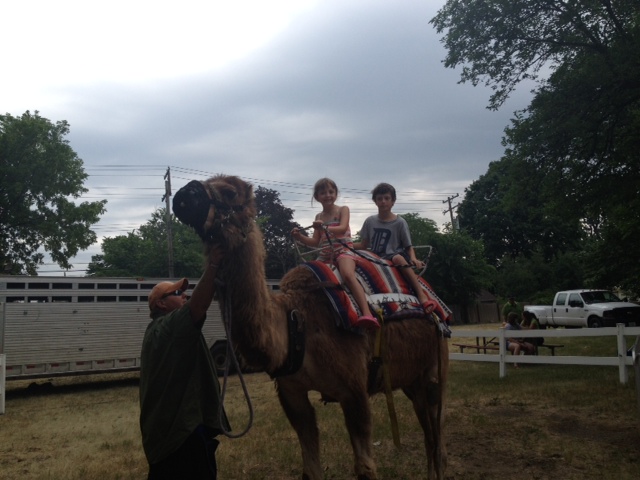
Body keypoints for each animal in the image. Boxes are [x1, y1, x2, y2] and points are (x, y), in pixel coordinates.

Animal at [172, 174, 448, 480]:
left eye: (231, 192)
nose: (184, 193)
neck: (294, 321)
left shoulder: (354, 389)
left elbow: (365, 468)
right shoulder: (292, 393)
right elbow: (310, 468)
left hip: (435, 368)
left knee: (437, 435)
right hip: (411, 378)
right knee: (429, 433)